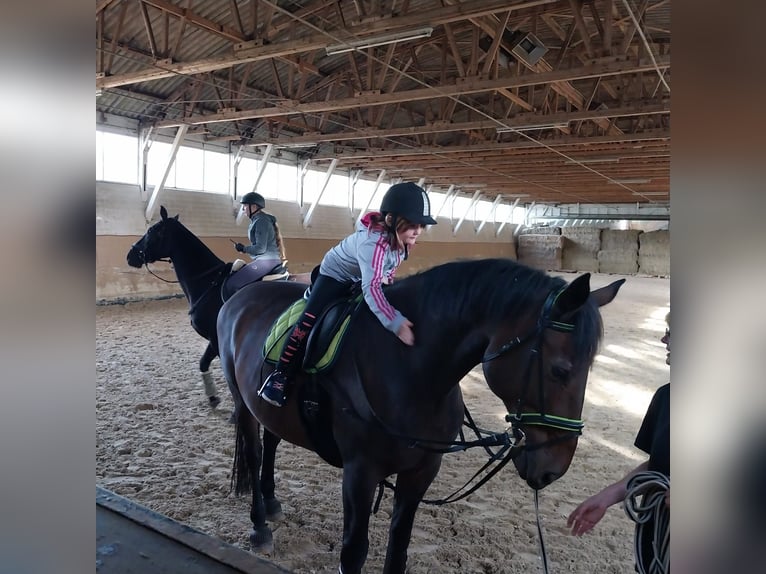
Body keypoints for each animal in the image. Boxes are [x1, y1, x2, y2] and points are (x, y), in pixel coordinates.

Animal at [219, 258, 628, 572]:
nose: (554, 466)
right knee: (254, 453)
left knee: (272, 442)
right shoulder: (360, 473)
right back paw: (260, 525)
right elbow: (354, 552)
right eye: (560, 370)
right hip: (243, 404)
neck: (408, 369)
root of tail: (240, 296)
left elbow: (398, 548)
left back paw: (272, 501)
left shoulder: (421, 471)